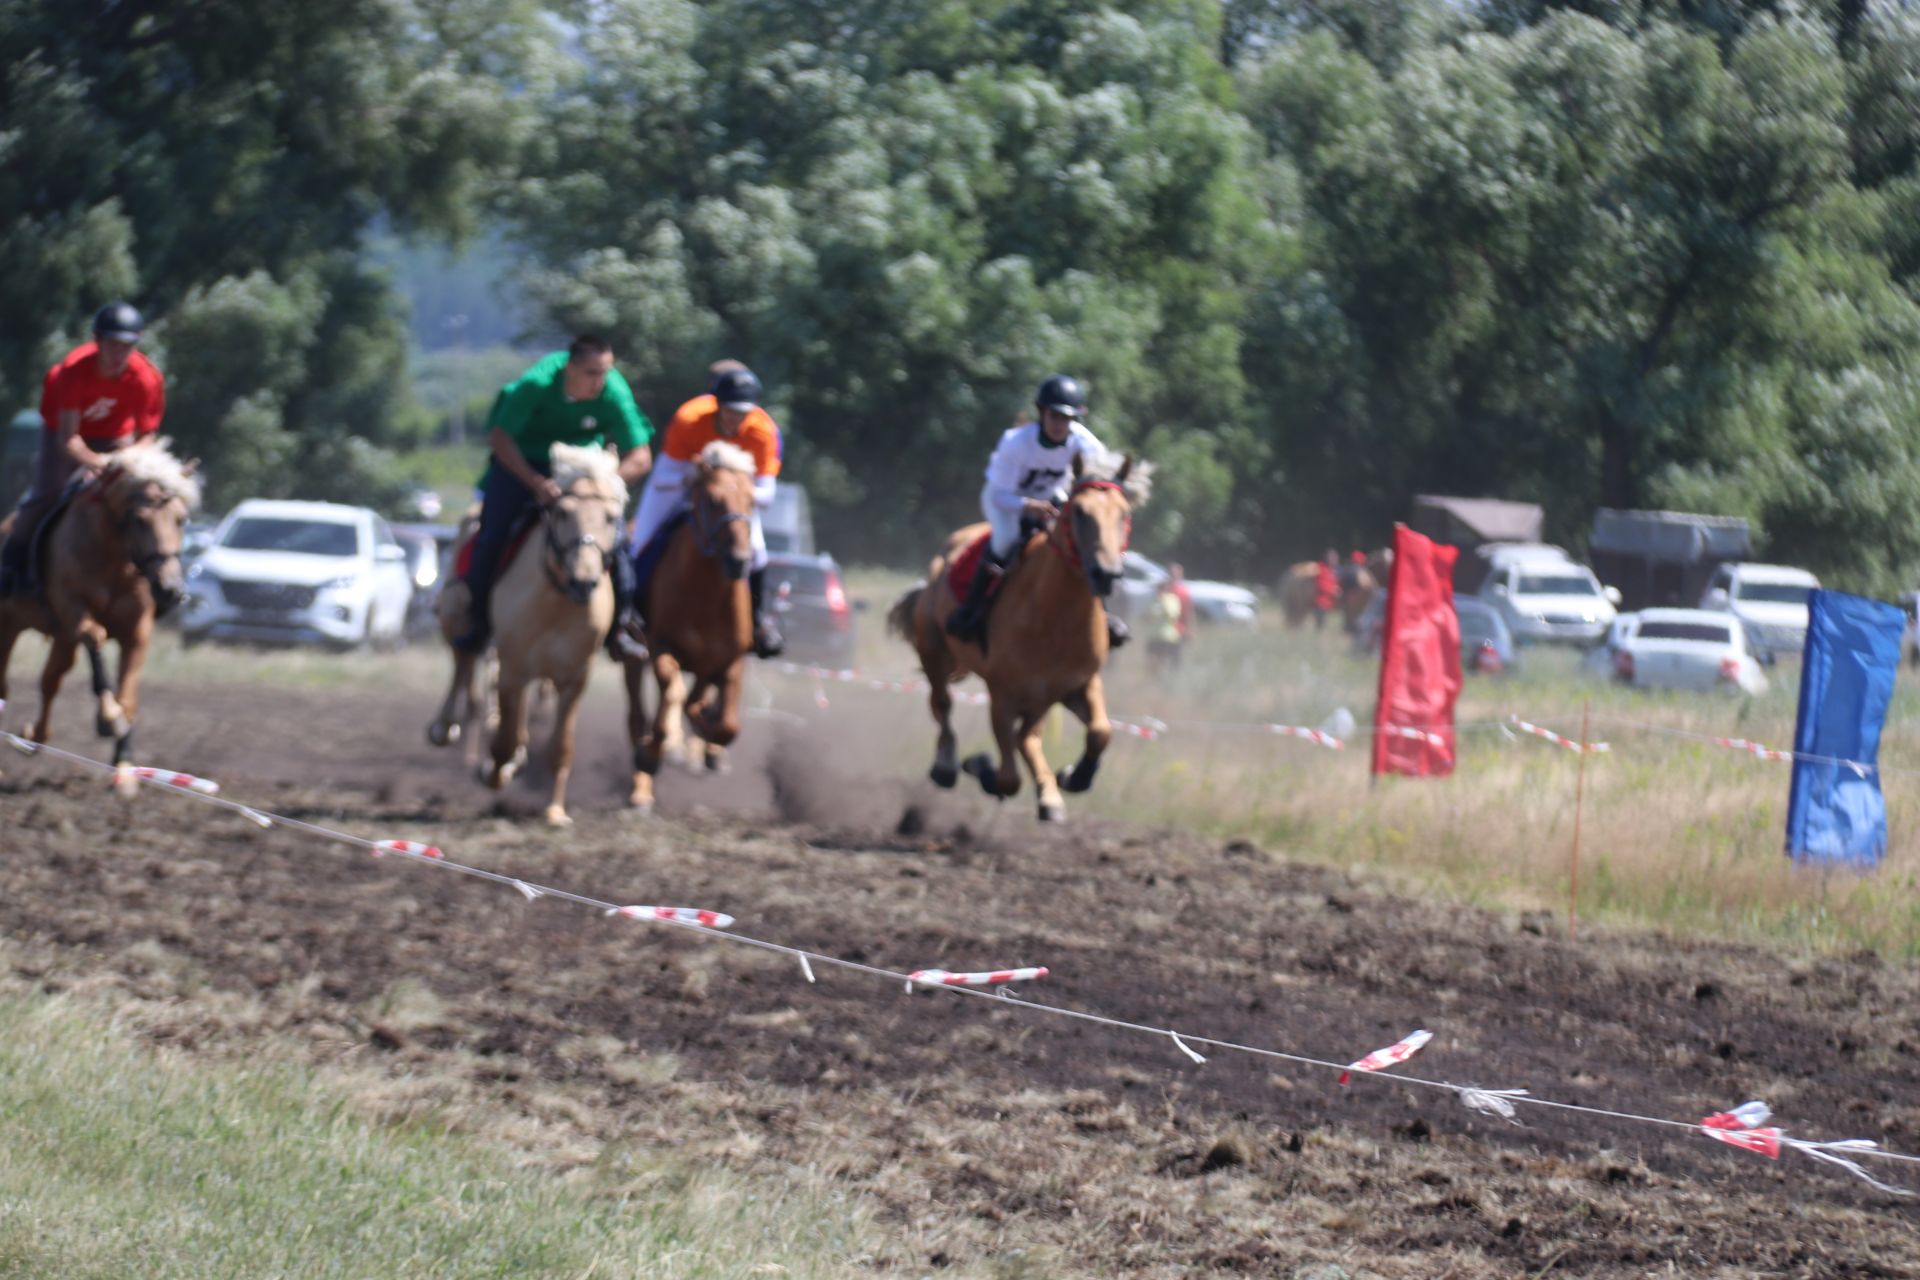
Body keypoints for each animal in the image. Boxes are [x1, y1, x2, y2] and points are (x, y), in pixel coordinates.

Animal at [428, 443, 622, 832]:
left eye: (611, 517)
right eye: (562, 512)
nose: (583, 581)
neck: (558, 601)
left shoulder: (574, 678)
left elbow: (560, 745)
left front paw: (555, 811)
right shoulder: (512, 668)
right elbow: (503, 739)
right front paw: (493, 772)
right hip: (458, 616)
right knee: (463, 662)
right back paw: (445, 727)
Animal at [622, 441, 756, 809]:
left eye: (752, 501)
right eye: (712, 500)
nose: (739, 561)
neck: (705, 598)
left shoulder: (730, 661)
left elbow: (728, 724)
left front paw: (710, 737)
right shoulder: (662, 648)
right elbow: (670, 701)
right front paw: (651, 754)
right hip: (634, 656)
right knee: (639, 715)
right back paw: (641, 789)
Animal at [887, 454, 1144, 825]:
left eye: (1123, 513)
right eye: (1080, 512)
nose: (1106, 574)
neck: (1056, 617)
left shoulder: (1077, 683)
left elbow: (1100, 732)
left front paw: (1073, 776)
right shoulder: (1003, 694)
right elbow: (1008, 777)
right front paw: (980, 766)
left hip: (1040, 697)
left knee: (1027, 738)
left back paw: (1050, 795)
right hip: (934, 651)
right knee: (942, 703)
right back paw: (947, 766)